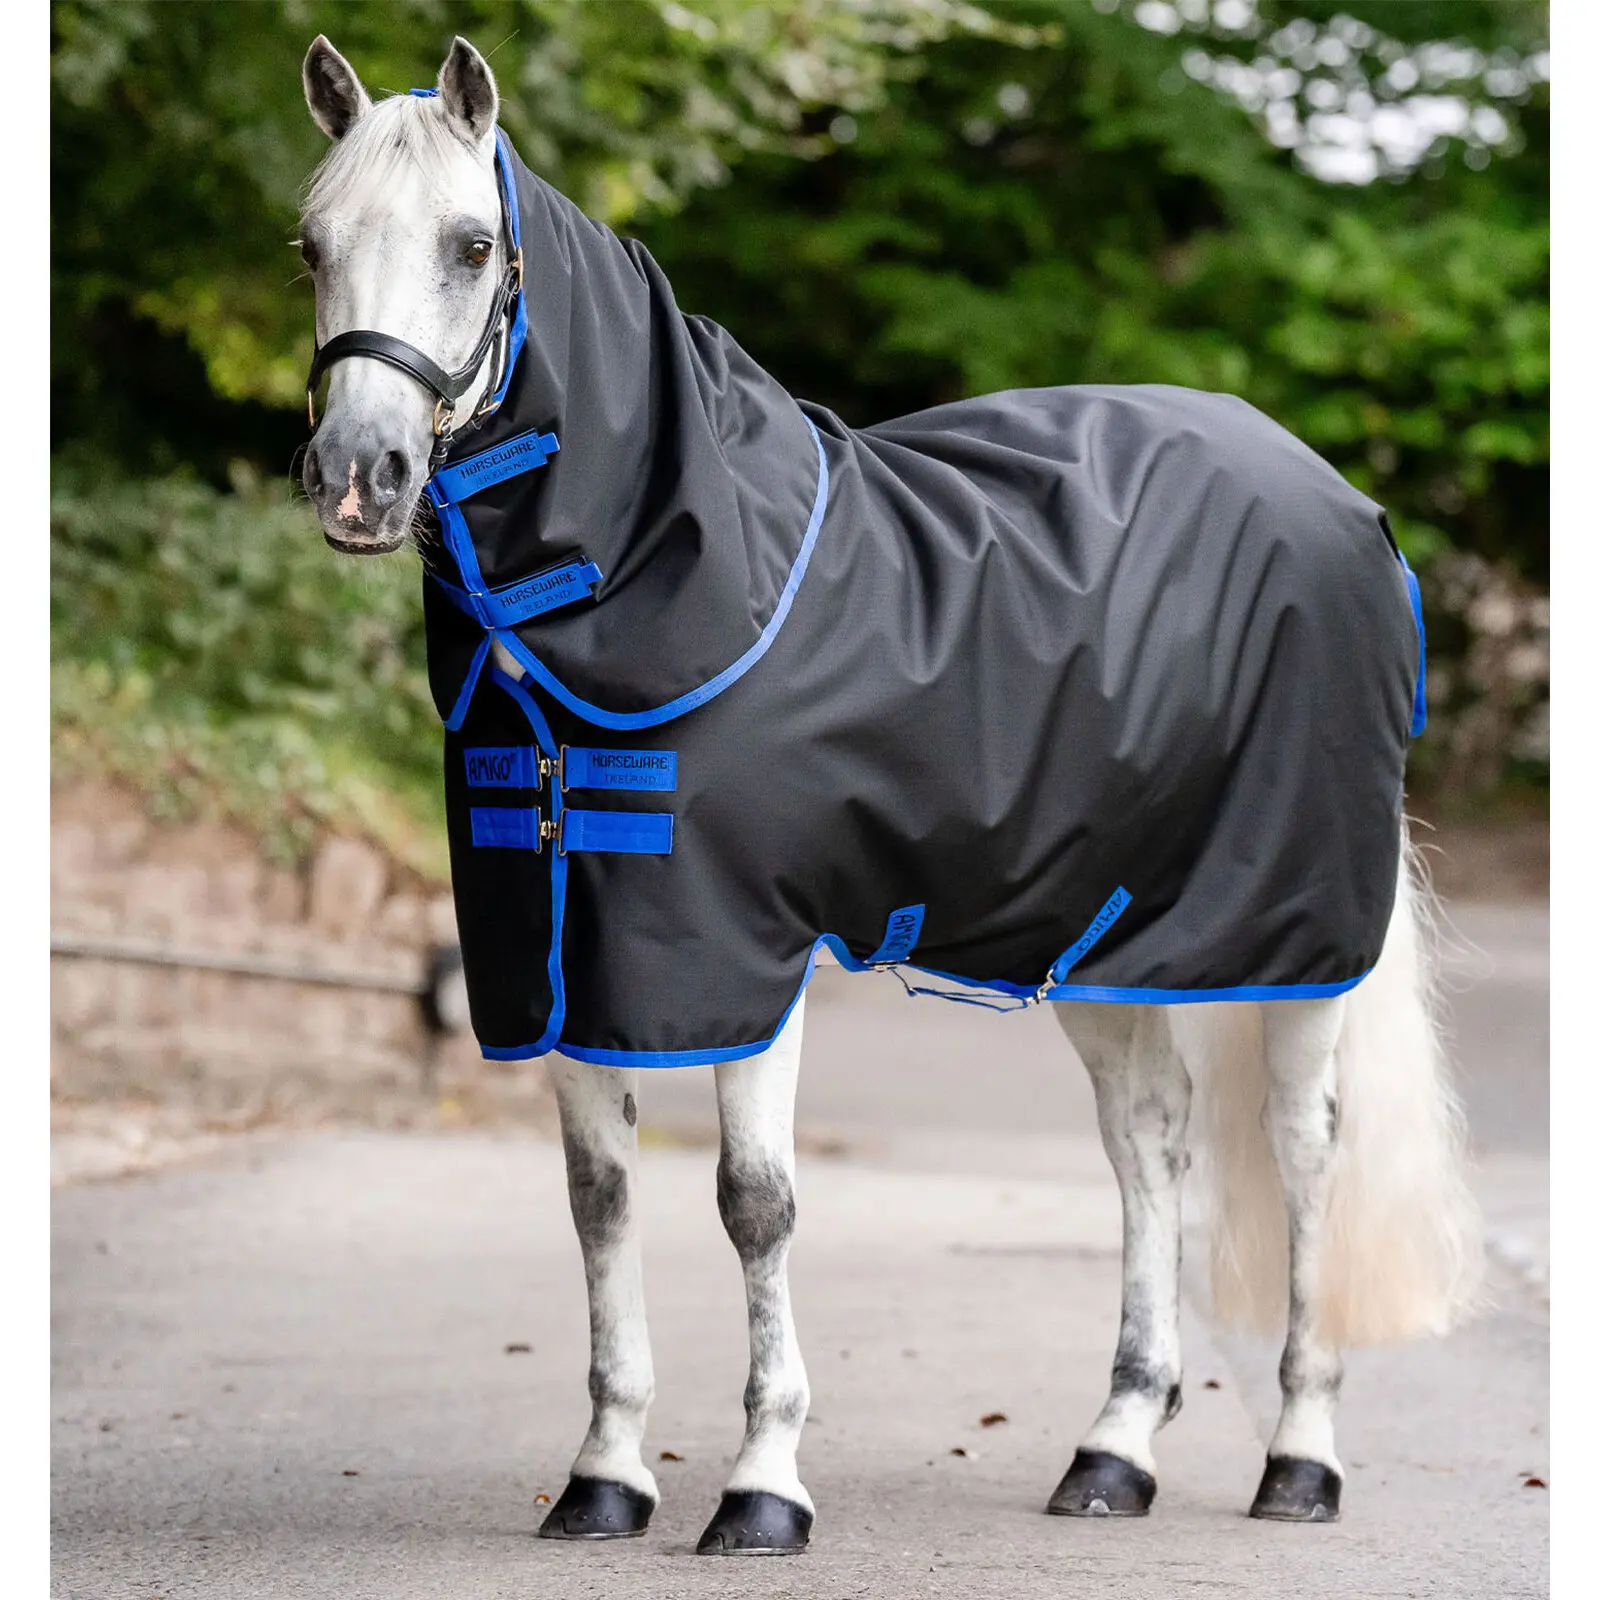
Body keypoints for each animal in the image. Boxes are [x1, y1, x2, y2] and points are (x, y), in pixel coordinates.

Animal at [295, 34, 1483, 1556]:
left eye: (470, 244)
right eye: (310, 243)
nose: (358, 479)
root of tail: (1347, 506)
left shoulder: (746, 951)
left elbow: (754, 1203)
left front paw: (762, 1485)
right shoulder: (562, 952)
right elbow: (599, 1201)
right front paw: (606, 1475)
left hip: (1299, 934)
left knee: (1307, 1150)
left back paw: (1301, 1457)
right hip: (1099, 932)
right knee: (1148, 1143)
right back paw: (1113, 1449)